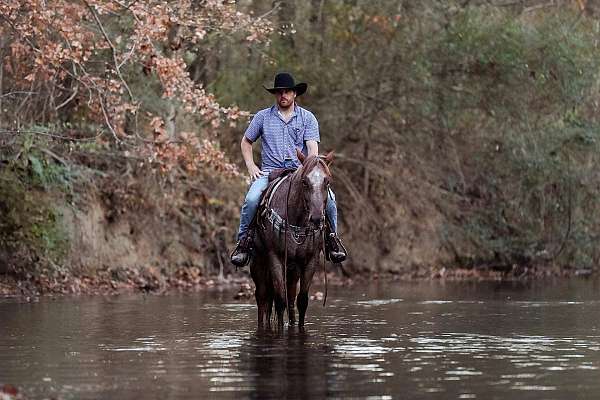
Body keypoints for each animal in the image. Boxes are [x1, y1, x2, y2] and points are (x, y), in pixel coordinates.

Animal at [248, 150, 332, 328]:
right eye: (304, 182)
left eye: (327, 181)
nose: (316, 219)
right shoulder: (275, 258)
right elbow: (280, 301)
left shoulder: (310, 260)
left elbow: (302, 301)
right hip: (258, 262)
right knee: (262, 297)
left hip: (293, 270)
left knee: (291, 298)